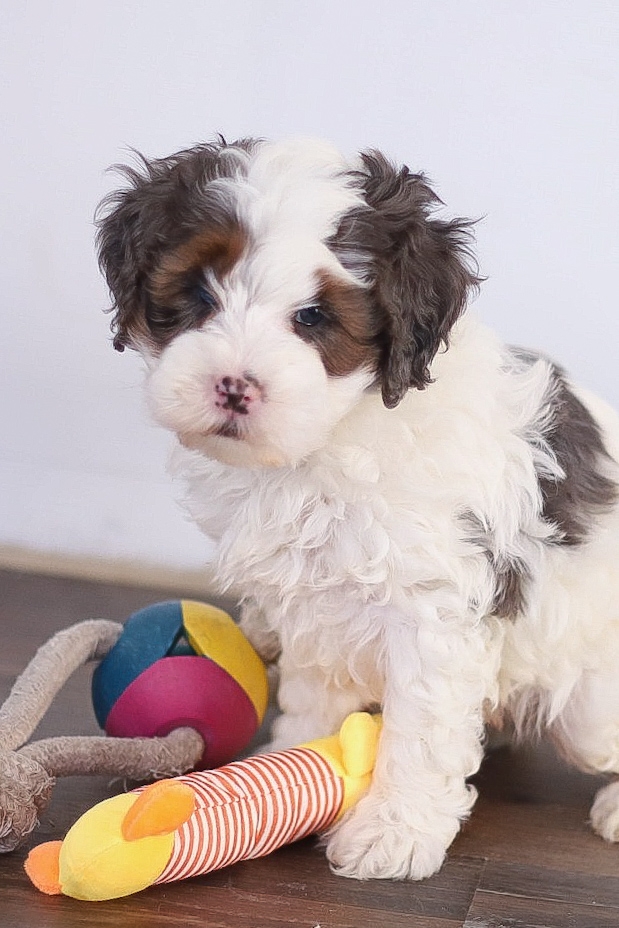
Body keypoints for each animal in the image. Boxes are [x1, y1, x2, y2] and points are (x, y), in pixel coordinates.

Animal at [96, 136, 619, 880]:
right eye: (198, 294)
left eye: (313, 318)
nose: (233, 386)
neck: (330, 442)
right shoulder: (315, 604)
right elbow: (315, 696)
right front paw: (289, 776)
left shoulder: (435, 609)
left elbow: (420, 728)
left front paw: (393, 831)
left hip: (589, 702)